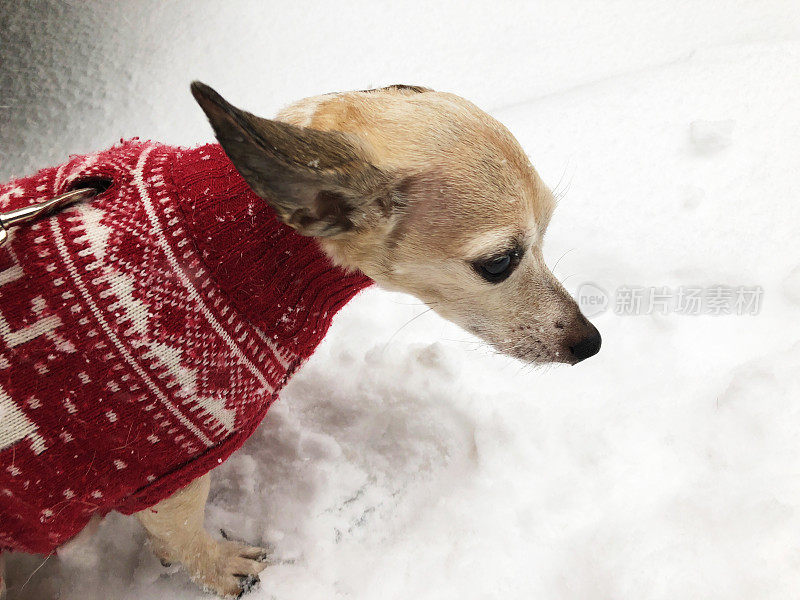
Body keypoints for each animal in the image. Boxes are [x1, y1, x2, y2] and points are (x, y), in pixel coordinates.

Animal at [0, 83, 600, 596]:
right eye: (499, 263)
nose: (590, 342)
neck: (234, 237)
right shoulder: (170, 476)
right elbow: (183, 536)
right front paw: (223, 571)